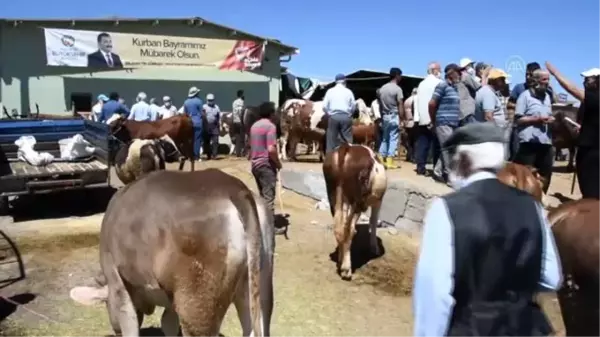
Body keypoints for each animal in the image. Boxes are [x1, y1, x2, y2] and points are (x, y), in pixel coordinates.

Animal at [69, 169, 274, 336]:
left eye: (105, 304)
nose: (115, 330)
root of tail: (232, 187)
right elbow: (168, 323)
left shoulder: (117, 280)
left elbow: (131, 324)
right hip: (257, 288)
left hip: (197, 303)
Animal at [324, 143, 384, 280]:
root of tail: (346, 147)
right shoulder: (378, 202)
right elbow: (373, 221)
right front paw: (374, 248)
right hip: (358, 200)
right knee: (350, 230)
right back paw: (346, 269)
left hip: (333, 193)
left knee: (339, 228)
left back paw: (341, 262)